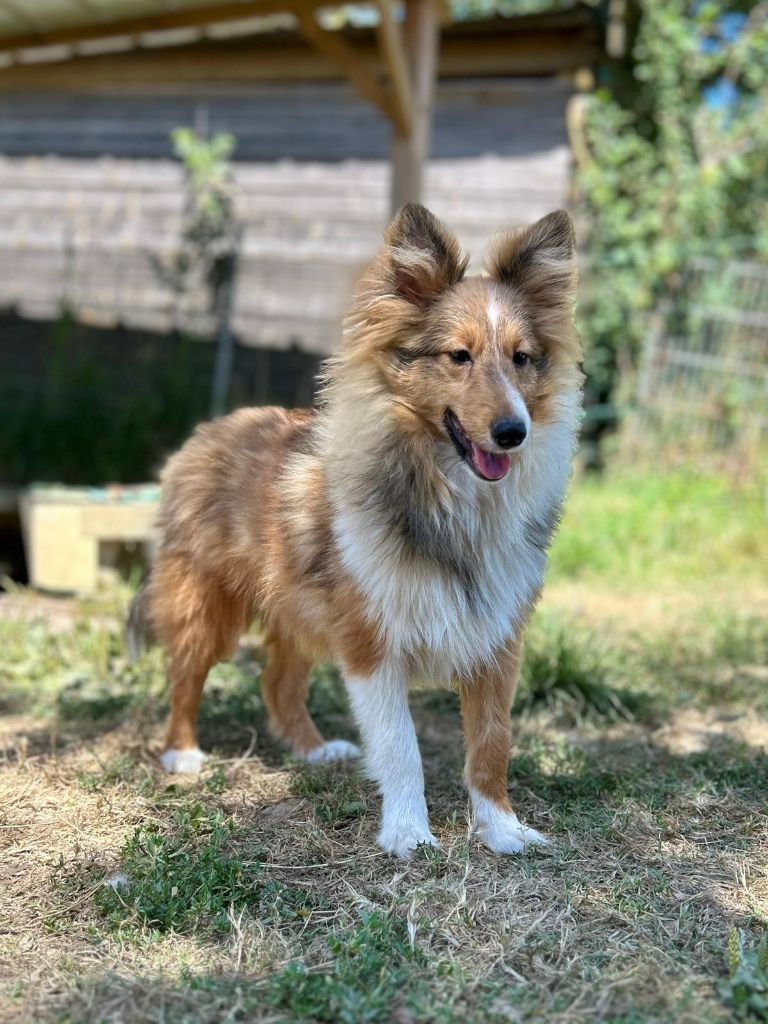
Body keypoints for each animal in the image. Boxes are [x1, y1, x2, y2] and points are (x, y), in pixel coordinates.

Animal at [129, 199, 581, 856]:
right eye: (459, 356)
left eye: (522, 358)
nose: (512, 433)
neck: (448, 497)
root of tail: (213, 428)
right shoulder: (372, 642)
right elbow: (400, 746)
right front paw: (409, 834)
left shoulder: (497, 637)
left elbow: (492, 743)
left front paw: (501, 828)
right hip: (205, 606)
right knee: (185, 675)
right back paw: (182, 753)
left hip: (297, 609)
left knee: (277, 681)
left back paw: (315, 750)